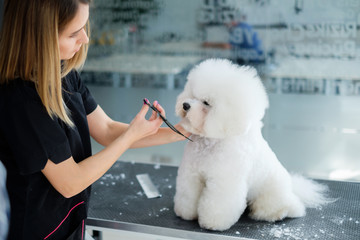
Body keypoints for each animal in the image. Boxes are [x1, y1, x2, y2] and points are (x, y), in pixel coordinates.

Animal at [174, 58, 330, 231]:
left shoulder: (224, 182)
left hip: (271, 195)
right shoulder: (192, 174)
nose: (185, 105)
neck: (210, 143)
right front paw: (186, 213)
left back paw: (275, 213)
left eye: (206, 102)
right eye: (192, 94)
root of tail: (292, 190)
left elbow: (218, 204)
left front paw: (212, 223)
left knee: (284, 207)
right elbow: (188, 195)